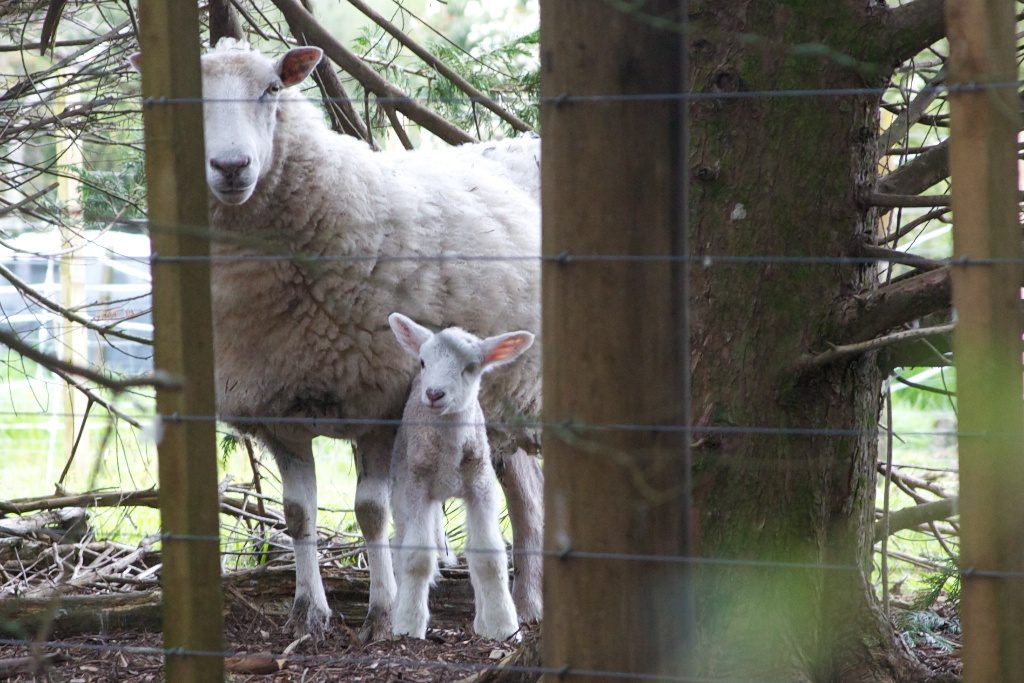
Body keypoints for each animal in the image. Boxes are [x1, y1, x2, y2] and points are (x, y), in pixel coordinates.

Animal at [382, 313, 528, 643]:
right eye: (423, 361)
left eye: (471, 367)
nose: (434, 394)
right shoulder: (416, 486)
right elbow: (417, 557)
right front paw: (408, 624)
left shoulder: (481, 484)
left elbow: (489, 556)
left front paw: (502, 626)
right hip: (401, 481)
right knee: (400, 542)